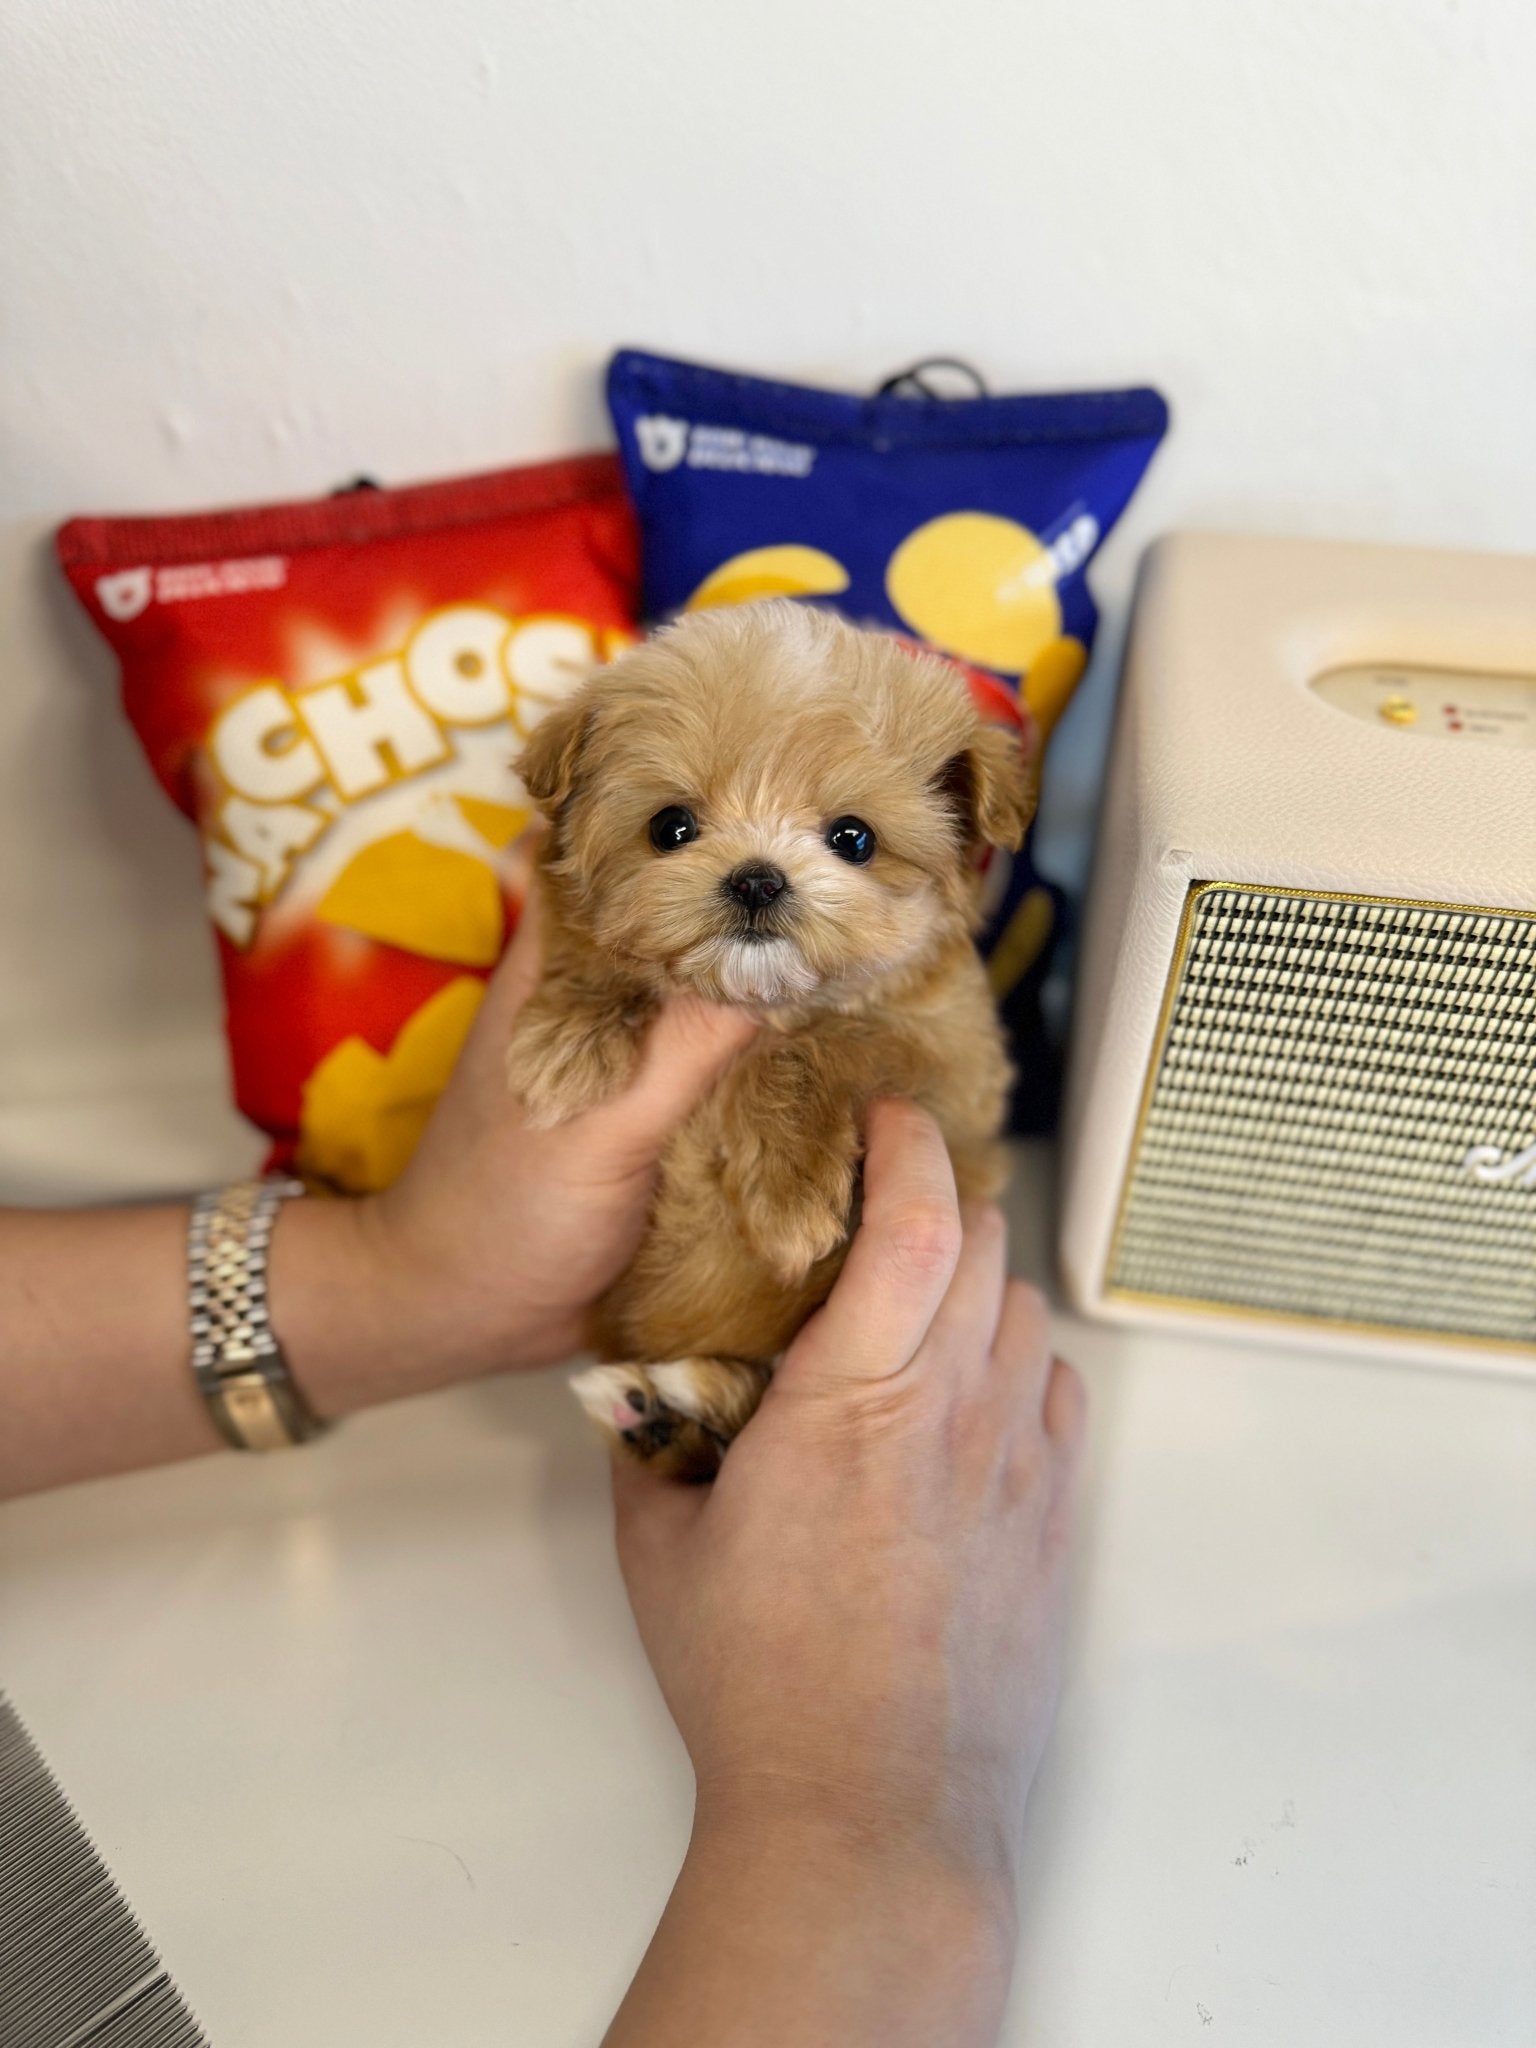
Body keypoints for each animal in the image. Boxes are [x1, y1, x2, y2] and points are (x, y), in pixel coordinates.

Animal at [507, 598, 1036, 1482]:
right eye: (671, 827)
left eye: (854, 839)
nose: (756, 878)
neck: (759, 999)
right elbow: (589, 945)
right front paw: (567, 1038)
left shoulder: (954, 1073)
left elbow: (824, 1044)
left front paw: (787, 1198)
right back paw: (650, 1414)